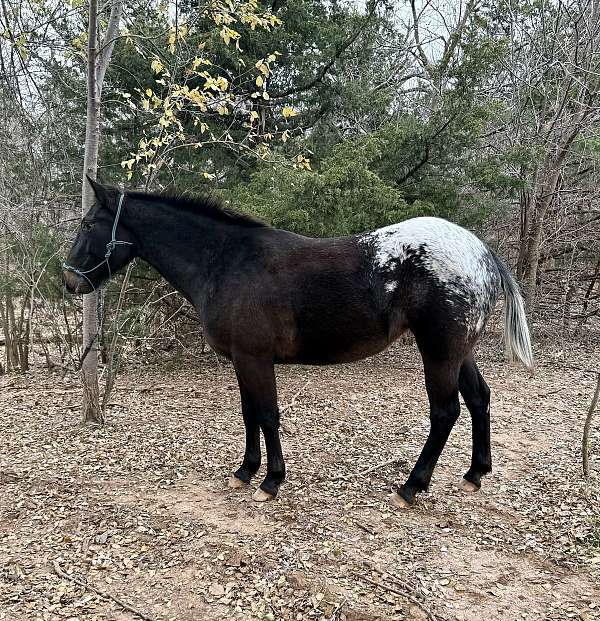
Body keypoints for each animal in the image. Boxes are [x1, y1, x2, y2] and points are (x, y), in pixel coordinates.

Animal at [64, 178, 536, 508]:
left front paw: (271, 482)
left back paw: (411, 486)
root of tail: (483, 253)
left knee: (445, 412)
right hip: (459, 353)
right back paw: (475, 474)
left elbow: (267, 416)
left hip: (438, 352)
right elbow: (249, 414)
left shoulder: (255, 359)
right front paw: (245, 471)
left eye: (88, 224)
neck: (227, 261)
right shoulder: (241, 361)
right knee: (478, 398)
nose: (69, 280)